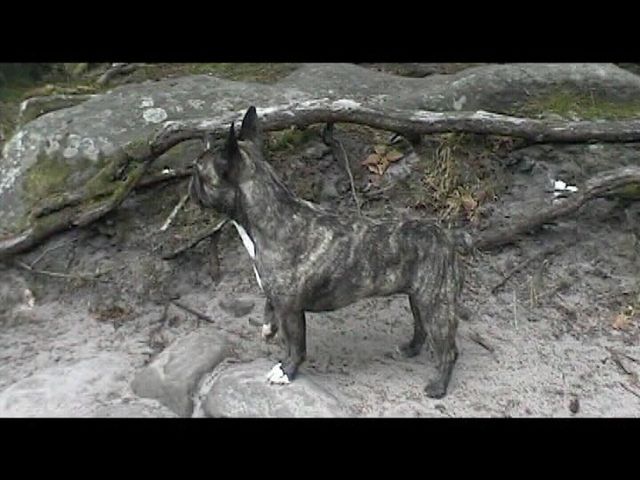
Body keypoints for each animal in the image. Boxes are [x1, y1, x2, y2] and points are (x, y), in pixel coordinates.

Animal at [190, 106, 464, 398]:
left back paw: (438, 386)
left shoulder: (291, 310)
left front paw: (286, 371)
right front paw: (268, 328)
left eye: (198, 171)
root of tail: (447, 236)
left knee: (448, 350)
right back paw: (411, 349)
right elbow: (269, 306)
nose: (190, 185)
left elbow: (295, 345)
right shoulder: (276, 294)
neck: (268, 215)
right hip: (419, 299)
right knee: (420, 326)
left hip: (436, 305)